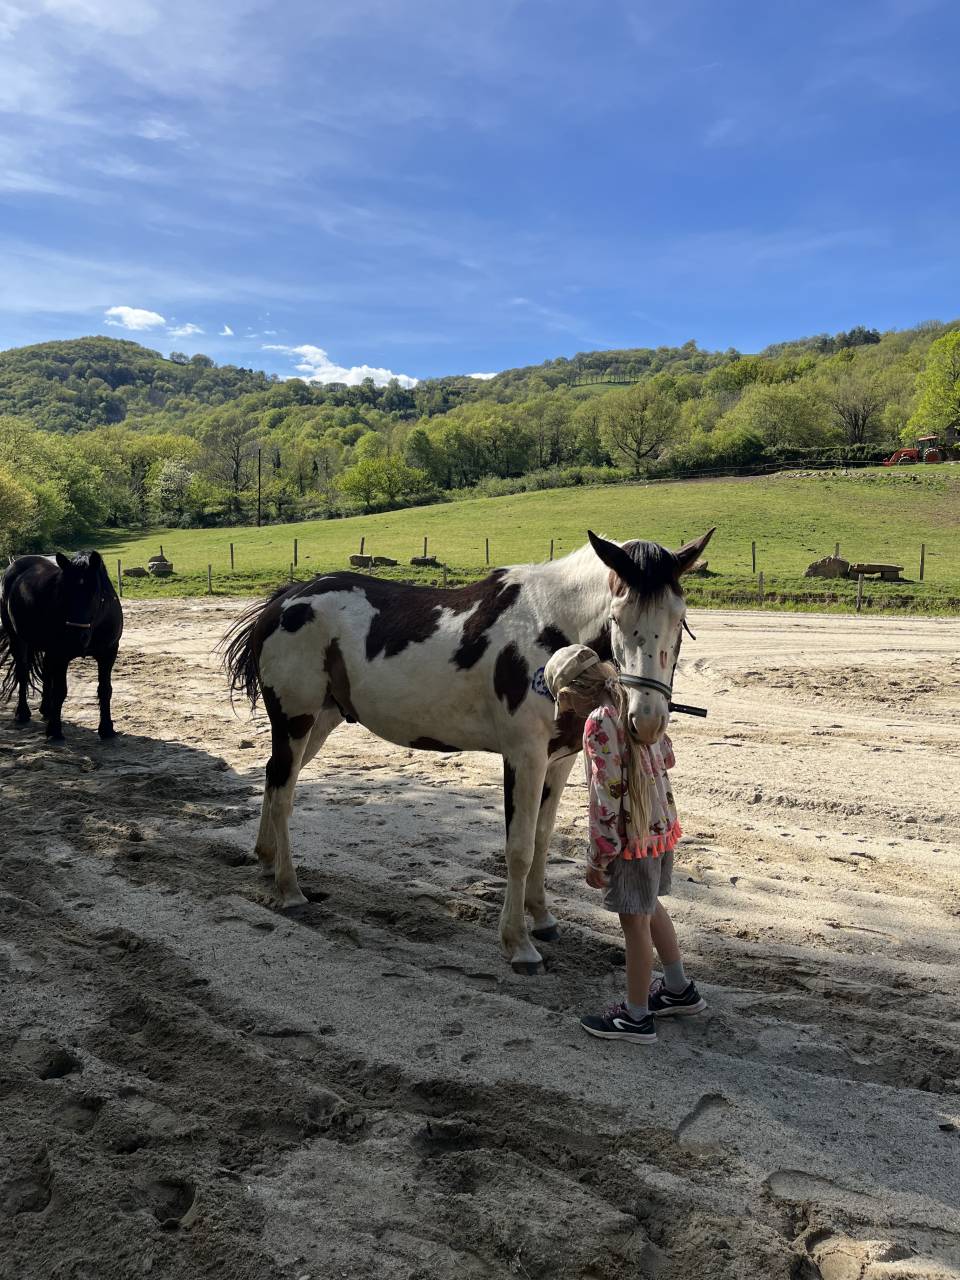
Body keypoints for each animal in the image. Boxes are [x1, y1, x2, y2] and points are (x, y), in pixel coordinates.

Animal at [0, 551, 123, 742]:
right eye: (64, 593)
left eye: (94, 593)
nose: (75, 636)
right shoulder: (61, 655)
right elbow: (60, 691)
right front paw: (54, 731)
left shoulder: (108, 654)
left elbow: (105, 690)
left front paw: (107, 729)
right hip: (17, 639)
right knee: (23, 672)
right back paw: (22, 713)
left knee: (45, 671)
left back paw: (46, 709)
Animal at [223, 528, 713, 972]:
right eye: (617, 617)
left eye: (680, 618)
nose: (646, 720)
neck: (552, 632)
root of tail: (284, 600)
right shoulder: (524, 756)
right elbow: (519, 848)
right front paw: (518, 944)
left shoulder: (559, 761)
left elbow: (542, 838)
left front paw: (542, 918)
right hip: (296, 720)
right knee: (284, 794)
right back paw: (289, 888)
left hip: (318, 723)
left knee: (274, 777)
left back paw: (266, 859)